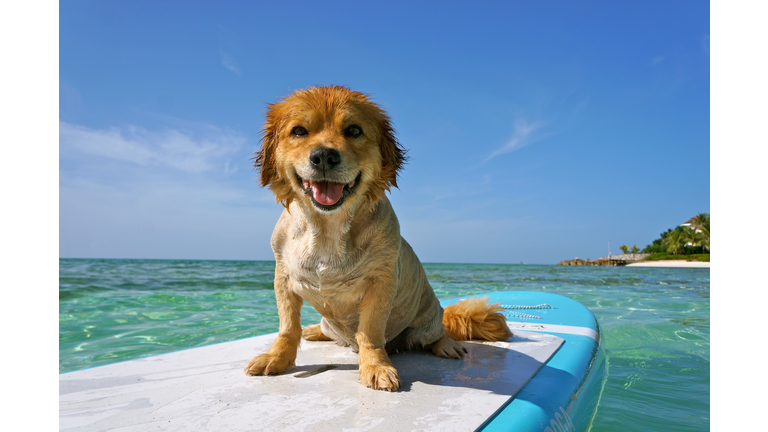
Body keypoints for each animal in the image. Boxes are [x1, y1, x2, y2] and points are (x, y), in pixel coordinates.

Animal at [246, 85, 510, 392]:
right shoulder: (284, 277)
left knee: (435, 335)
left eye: (353, 130)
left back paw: (446, 344)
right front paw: (276, 357)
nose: (324, 156)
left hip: (429, 322)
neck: (327, 228)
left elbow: (370, 332)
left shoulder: (380, 282)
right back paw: (314, 330)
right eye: (299, 131)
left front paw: (375, 366)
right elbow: (288, 327)